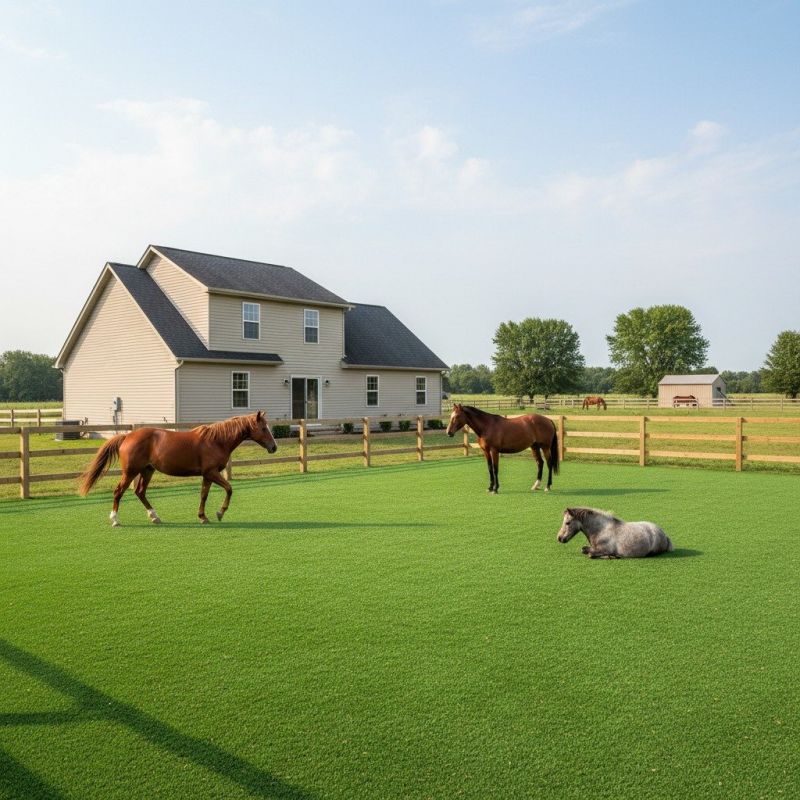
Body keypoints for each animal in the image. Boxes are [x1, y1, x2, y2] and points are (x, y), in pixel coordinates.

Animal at [79, 411, 278, 527]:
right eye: (263, 428)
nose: (274, 447)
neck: (217, 440)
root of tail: (127, 436)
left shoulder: (207, 475)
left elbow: (203, 495)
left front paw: (203, 516)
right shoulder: (212, 473)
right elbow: (229, 488)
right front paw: (220, 513)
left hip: (147, 470)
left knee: (140, 492)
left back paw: (154, 516)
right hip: (130, 472)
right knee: (119, 492)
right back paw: (115, 519)